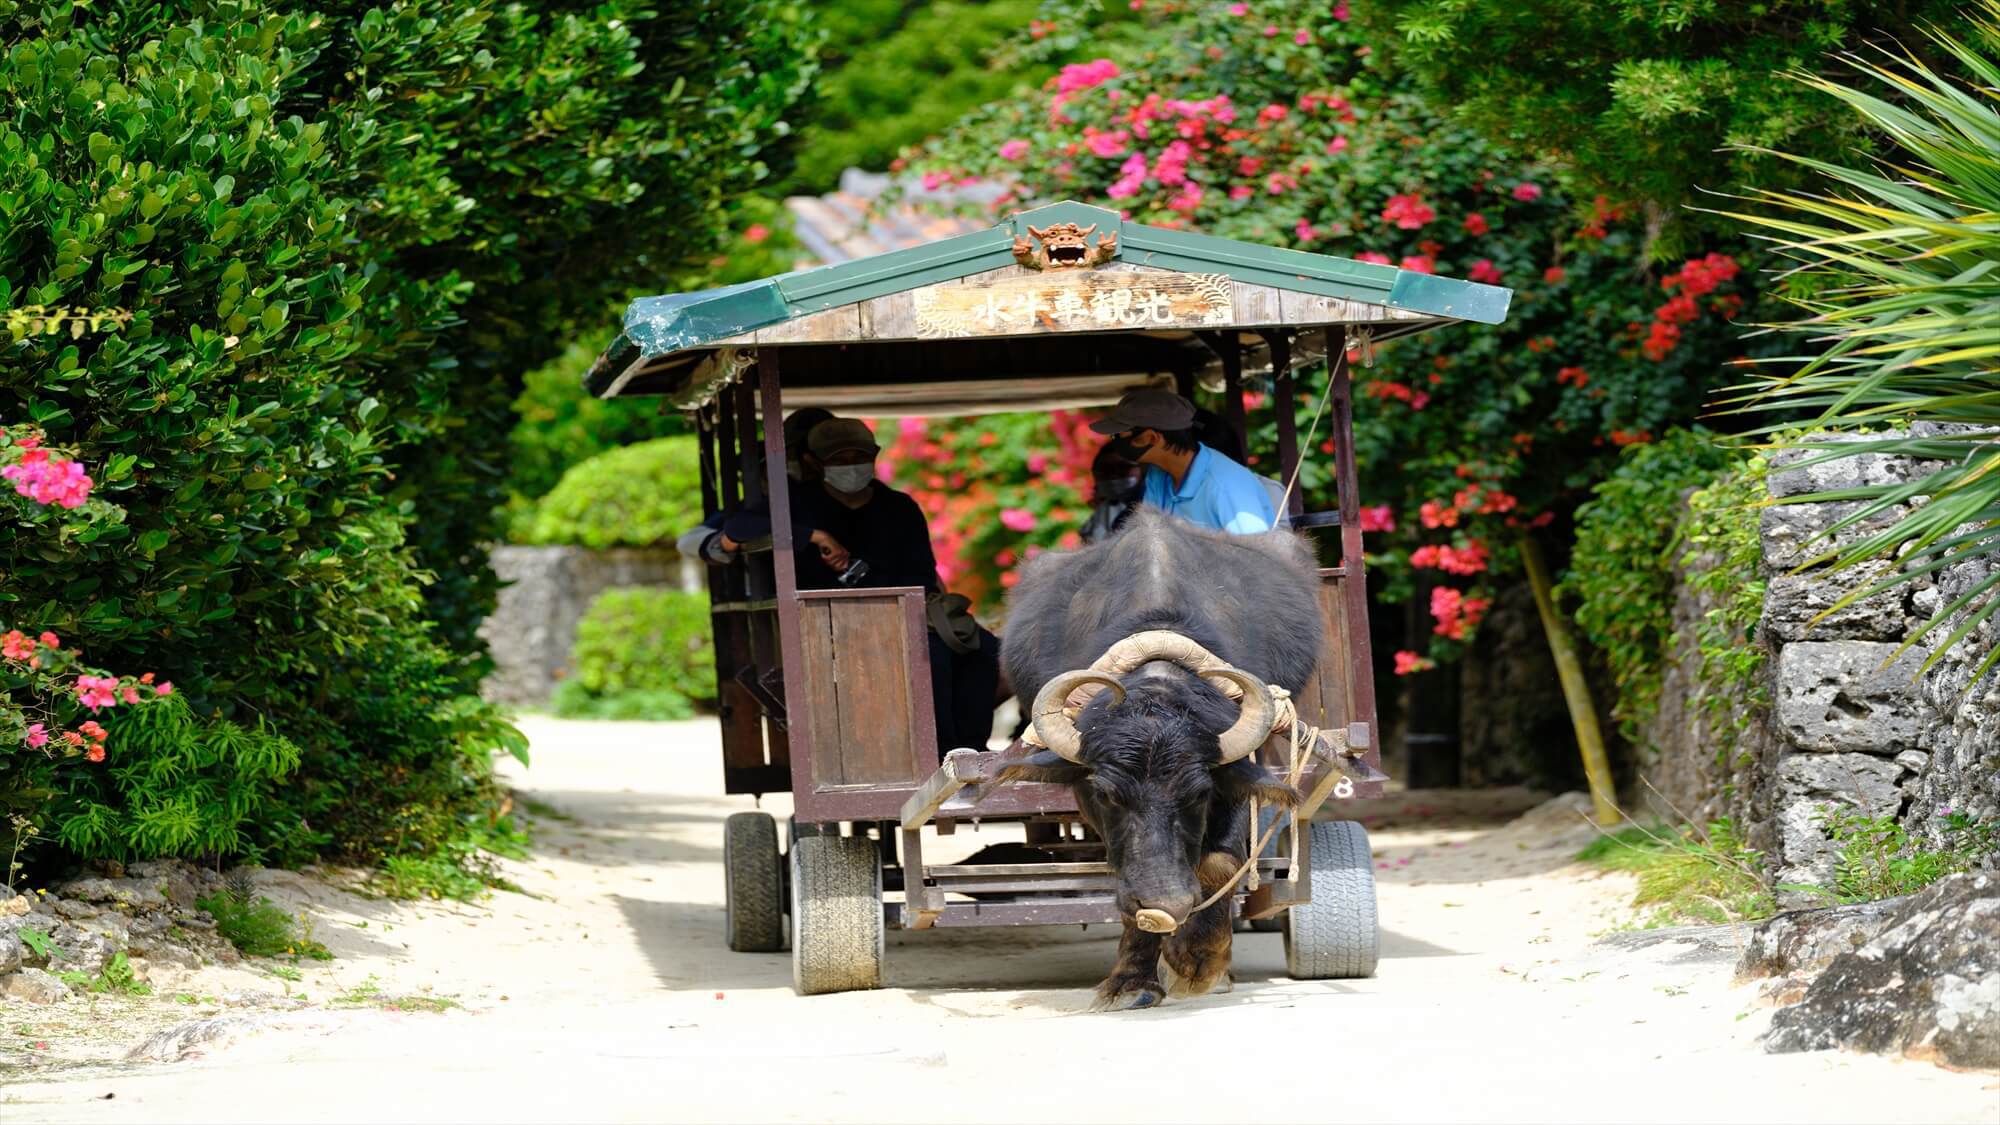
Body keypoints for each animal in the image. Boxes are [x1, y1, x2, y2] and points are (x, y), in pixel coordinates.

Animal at [996, 504, 1312, 1000]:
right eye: (1107, 795)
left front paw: (1198, 961)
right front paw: (1132, 979)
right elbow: (1127, 878)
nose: (1168, 900)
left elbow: (1221, 862)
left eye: (1199, 793)